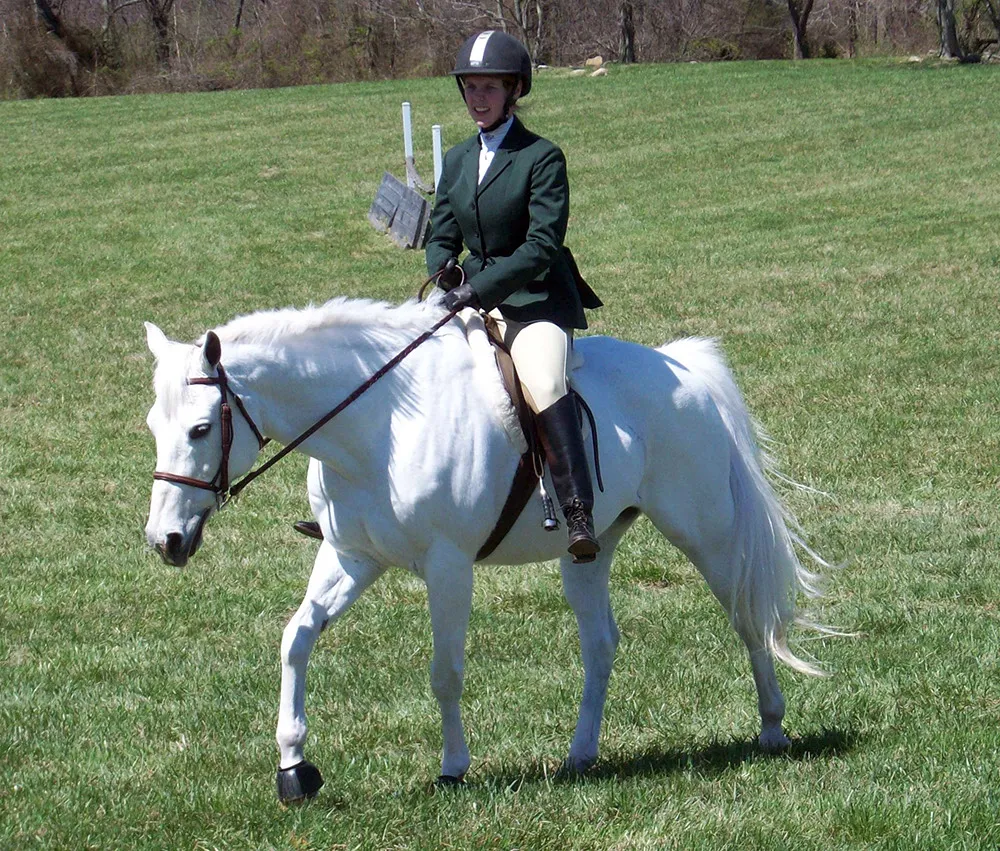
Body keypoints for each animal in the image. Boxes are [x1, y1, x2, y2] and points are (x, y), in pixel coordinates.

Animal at [143, 295, 829, 804]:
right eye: (153, 426)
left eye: (201, 429)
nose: (164, 541)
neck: (378, 426)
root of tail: (683, 369)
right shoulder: (350, 556)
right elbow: (297, 637)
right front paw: (293, 766)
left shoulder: (447, 565)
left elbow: (445, 671)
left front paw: (453, 767)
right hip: (591, 549)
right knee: (601, 642)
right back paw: (580, 755)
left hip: (703, 531)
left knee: (748, 617)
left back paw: (772, 728)